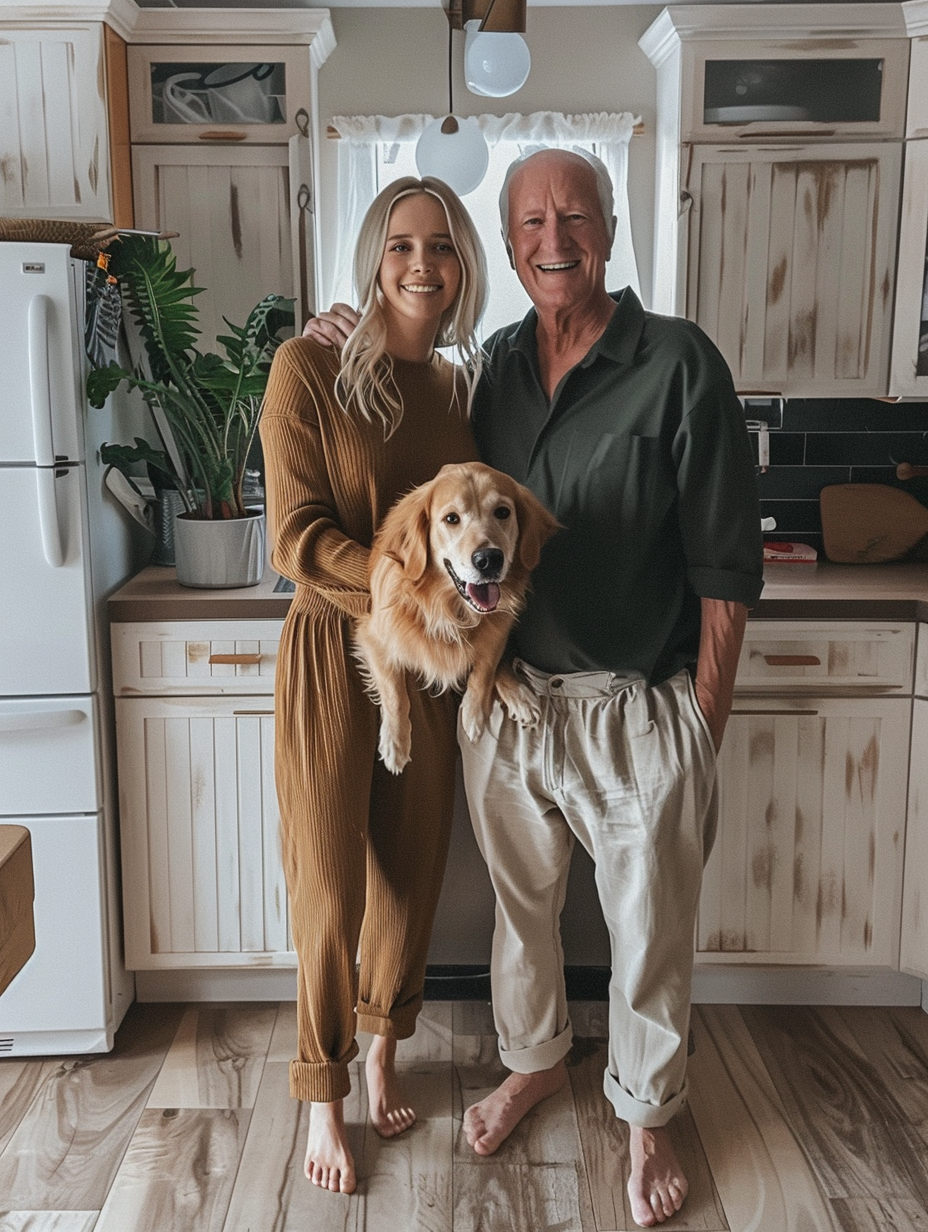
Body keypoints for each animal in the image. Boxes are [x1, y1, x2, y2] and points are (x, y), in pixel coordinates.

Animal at [352, 463, 557, 768]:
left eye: (502, 512)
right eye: (451, 518)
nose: (489, 559)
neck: (449, 610)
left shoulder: (498, 630)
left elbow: (484, 668)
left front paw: (473, 715)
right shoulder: (373, 635)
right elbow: (394, 691)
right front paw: (395, 744)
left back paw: (519, 696)